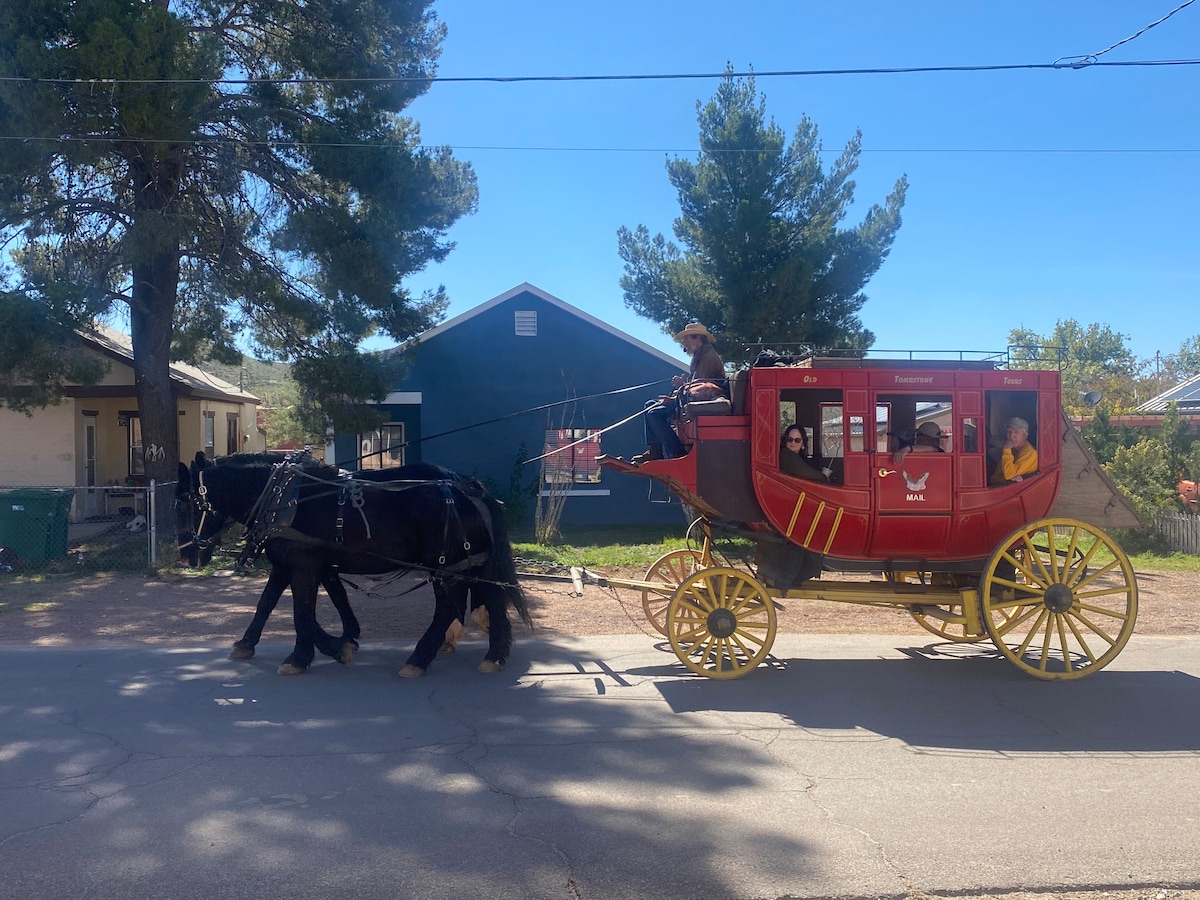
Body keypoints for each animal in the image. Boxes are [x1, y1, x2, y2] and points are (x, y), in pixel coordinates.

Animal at [178, 453, 530, 681]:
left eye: (187, 502)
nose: (186, 556)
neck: (283, 499)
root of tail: (468, 488)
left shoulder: (304, 565)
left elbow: (302, 614)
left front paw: (312, 653)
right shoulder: (288, 564)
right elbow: (268, 604)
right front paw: (247, 644)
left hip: (444, 564)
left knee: (447, 608)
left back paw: (419, 659)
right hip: (471, 562)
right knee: (492, 600)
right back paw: (494, 654)